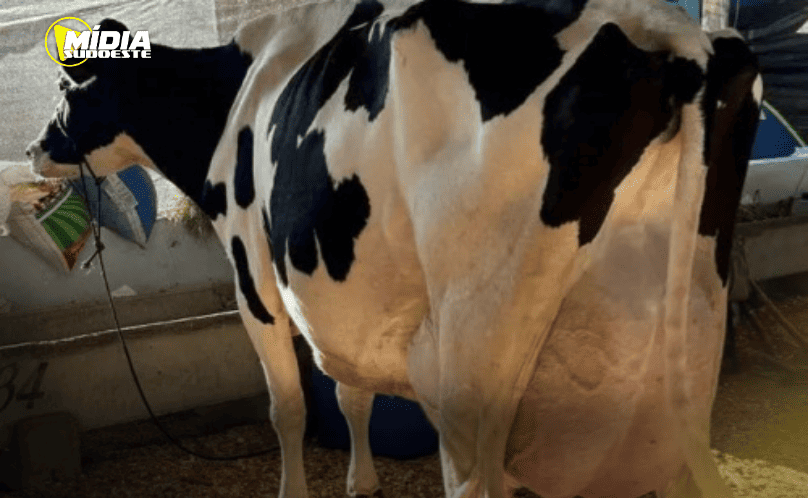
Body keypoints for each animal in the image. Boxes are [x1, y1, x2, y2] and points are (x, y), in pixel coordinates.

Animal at [26, 0, 762, 496]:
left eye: (66, 90)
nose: (33, 149)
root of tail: (662, 32)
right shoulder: (343, 301)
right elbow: (351, 393)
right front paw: (363, 481)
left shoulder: (254, 285)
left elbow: (288, 408)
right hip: (683, 358)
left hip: (474, 352)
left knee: (470, 476)